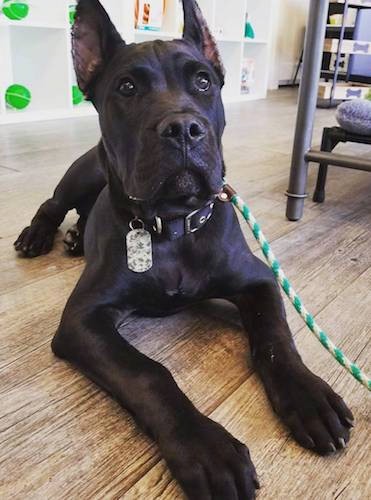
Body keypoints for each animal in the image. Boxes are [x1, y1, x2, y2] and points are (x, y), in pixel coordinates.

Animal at [14, 1, 354, 498]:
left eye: (203, 82)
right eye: (127, 87)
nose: (183, 128)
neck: (172, 227)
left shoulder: (258, 280)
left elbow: (276, 338)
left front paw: (308, 396)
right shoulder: (83, 319)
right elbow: (148, 373)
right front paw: (204, 447)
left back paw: (77, 237)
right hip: (85, 169)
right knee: (54, 204)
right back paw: (39, 235)